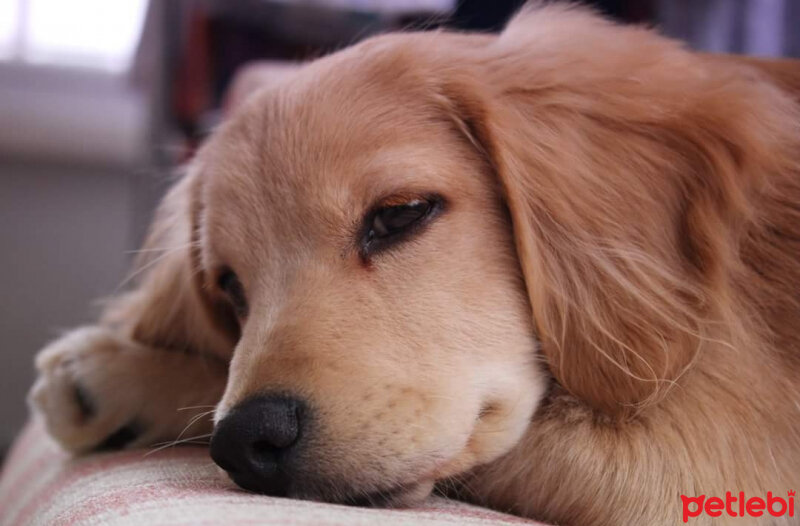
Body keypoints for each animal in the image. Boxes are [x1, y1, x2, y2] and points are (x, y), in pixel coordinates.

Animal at [26, 5, 800, 526]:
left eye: (400, 214)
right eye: (230, 287)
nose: (245, 442)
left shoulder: (722, 463)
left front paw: (121, 372)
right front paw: (133, 374)